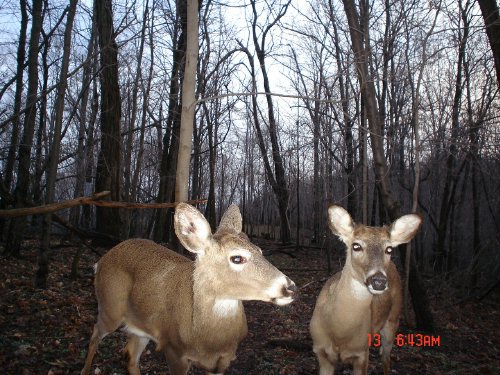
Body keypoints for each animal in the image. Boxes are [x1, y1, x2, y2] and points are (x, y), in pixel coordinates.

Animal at [80, 204, 294, 375]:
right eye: (237, 258)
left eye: (260, 250)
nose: (290, 287)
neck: (209, 340)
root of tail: (101, 260)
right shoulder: (174, 350)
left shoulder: (224, 359)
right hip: (110, 307)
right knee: (95, 332)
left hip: (141, 325)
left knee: (130, 355)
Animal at [308, 206, 422, 375]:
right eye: (356, 246)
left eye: (389, 249)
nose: (379, 281)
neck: (339, 331)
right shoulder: (321, 352)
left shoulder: (362, 353)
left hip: (393, 321)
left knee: (386, 359)